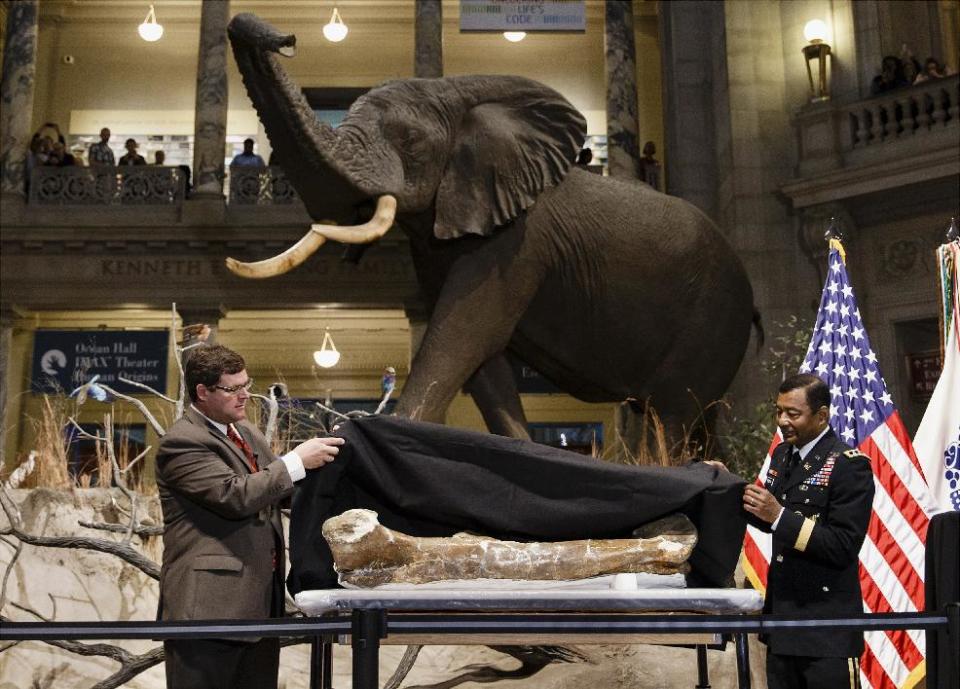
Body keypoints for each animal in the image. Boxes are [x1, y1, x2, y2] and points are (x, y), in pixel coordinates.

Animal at [227, 14, 756, 446]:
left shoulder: (521, 237)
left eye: (410, 141)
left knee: (672, 414)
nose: (283, 37)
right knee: (696, 421)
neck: (457, 94)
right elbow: (483, 362)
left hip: (715, 315)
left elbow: (465, 329)